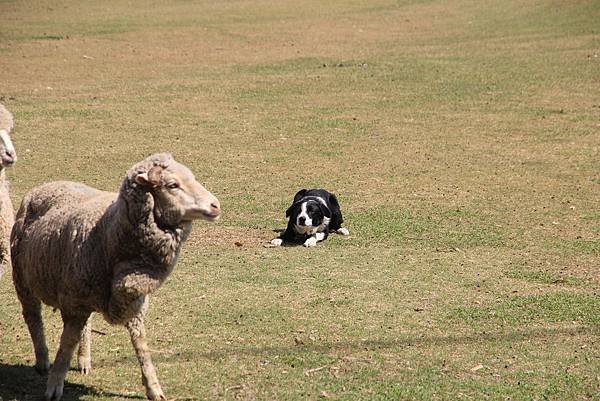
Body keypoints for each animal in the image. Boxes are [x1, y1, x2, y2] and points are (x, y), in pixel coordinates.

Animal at [10, 152, 221, 398]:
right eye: (172, 185)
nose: (216, 205)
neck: (110, 231)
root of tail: (47, 184)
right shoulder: (76, 302)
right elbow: (66, 344)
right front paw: (54, 385)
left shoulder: (132, 299)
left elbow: (141, 344)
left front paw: (153, 387)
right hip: (23, 280)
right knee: (33, 317)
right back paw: (42, 359)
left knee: (84, 325)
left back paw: (84, 359)